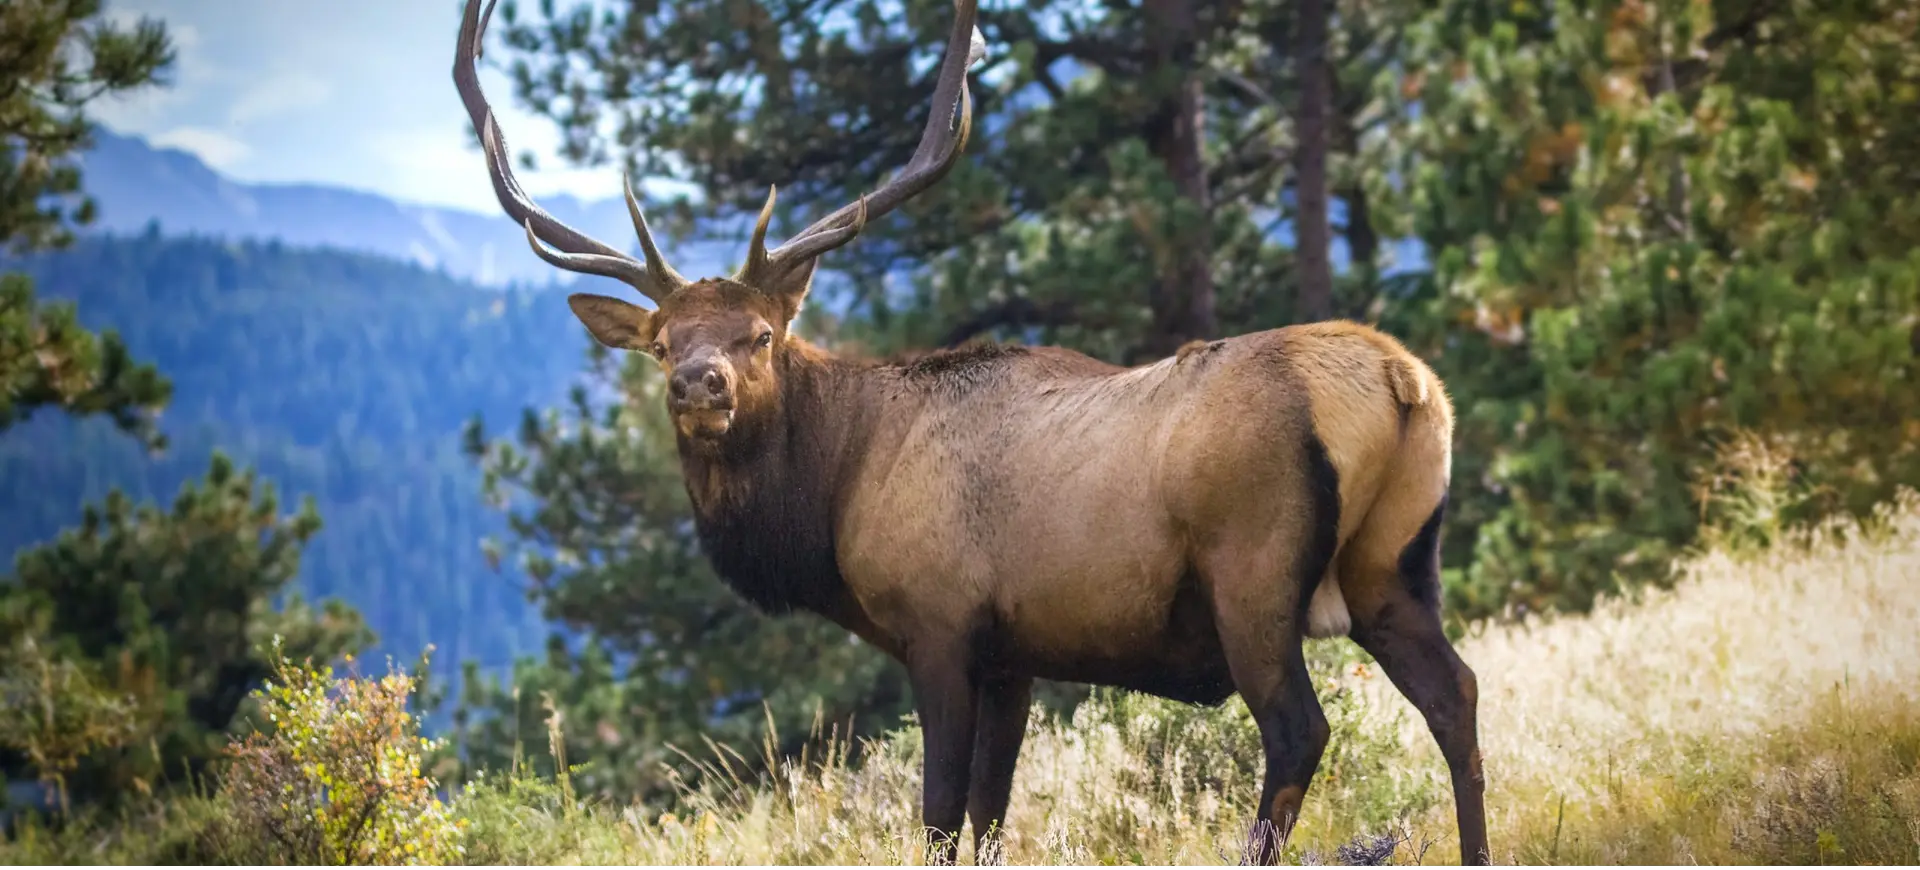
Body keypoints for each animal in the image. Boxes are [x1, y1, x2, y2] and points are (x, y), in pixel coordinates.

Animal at [456, 0, 1489, 864]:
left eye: (760, 334)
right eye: (663, 341)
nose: (696, 383)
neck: (833, 500)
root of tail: (1402, 381)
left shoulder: (941, 625)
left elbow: (941, 816)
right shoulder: (1014, 658)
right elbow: (992, 816)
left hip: (1254, 571)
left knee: (1299, 731)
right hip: (1394, 568)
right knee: (1457, 694)